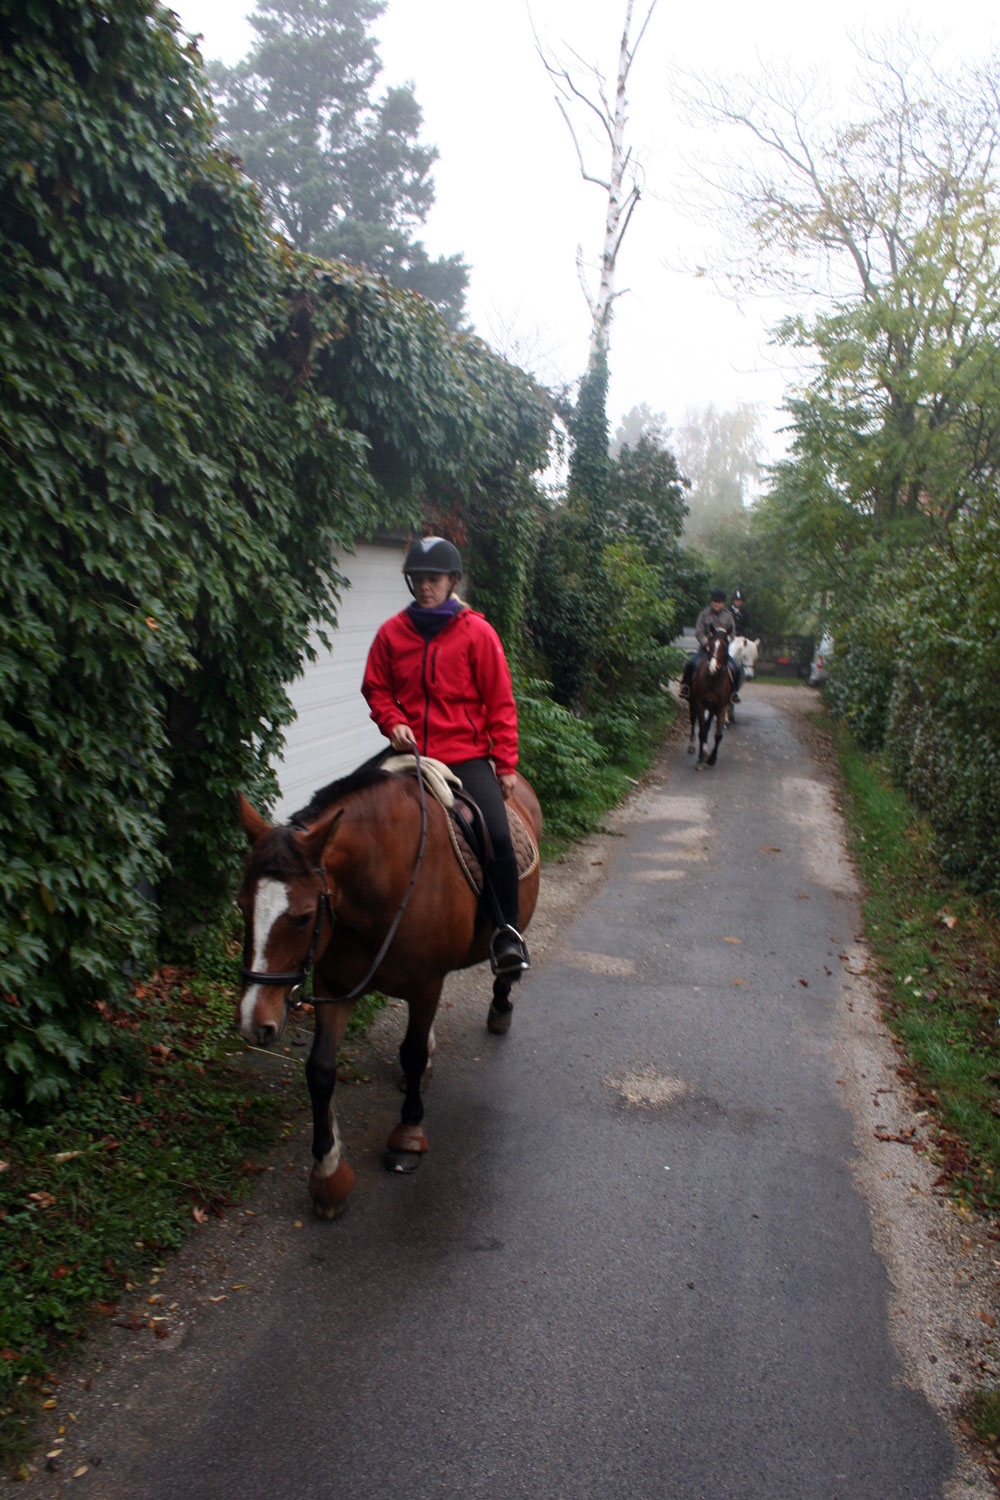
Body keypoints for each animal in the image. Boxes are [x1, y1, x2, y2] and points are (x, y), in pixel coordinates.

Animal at [233, 762, 539, 1218]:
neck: (384, 881)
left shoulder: (427, 983)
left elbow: (410, 1056)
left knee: (504, 962)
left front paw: (408, 1135)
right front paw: (328, 1173)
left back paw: (501, 1005)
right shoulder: (335, 984)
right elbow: (321, 1069)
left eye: (304, 917)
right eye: (241, 905)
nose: (256, 1022)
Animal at [689, 630, 734, 774]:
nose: (712, 668)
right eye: (710, 645)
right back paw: (692, 746)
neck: (713, 680)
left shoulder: (720, 707)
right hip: (692, 703)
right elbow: (702, 730)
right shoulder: (700, 703)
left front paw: (711, 758)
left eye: (725, 647)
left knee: (707, 726)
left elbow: (717, 734)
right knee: (693, 721)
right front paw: (700, 759)